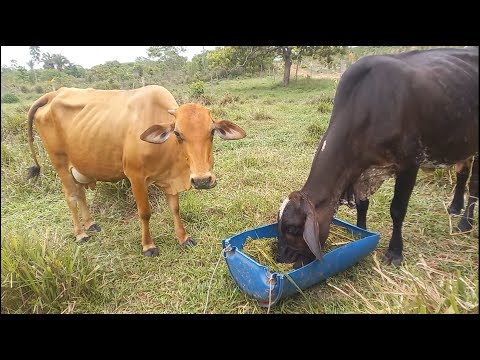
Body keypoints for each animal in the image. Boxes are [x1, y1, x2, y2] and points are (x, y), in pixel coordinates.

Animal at [25, 85, 246, 256]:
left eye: (212, 131)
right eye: (177, 133)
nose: (202, 180)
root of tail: (54, 94)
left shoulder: (170, 180)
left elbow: (175, 208)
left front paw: (183, 238)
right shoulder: (136, 177)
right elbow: (145, 213)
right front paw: (148, 246)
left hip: (79, 166)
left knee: (80, 194)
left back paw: (91, 224)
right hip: (60, 164)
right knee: (70, 197)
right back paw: (81, 233)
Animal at [276, 46, 478, 268]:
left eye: (293, 228)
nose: (279, 256)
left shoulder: (409, 164)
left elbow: (397, 209)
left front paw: (395, 252)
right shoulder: (362, 170)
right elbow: (362, 205)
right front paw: (361, 233)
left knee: (474, 186)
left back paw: (465, 223)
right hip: (463, 142)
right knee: (462, 173)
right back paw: (454, 207)